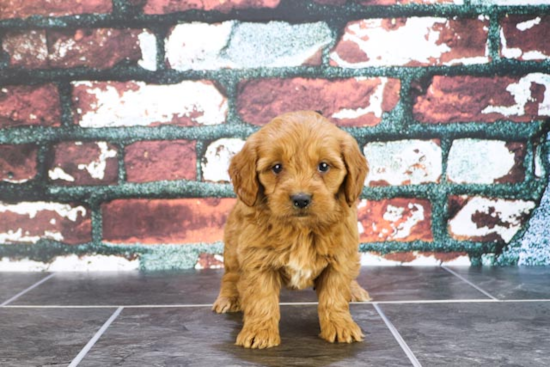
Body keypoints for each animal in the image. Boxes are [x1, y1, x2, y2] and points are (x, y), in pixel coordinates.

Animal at [213, 110, 374, 350]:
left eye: (323, 166)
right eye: (276, 167)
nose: (301, 199)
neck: (301, 230)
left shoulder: (341, 256)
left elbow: (335, 295)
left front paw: (340, 325)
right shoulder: (257, 260)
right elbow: (261, 298)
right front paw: (259, 332)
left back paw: (355, 290)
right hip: (233, 245)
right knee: (231, 275)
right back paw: (228, 298)